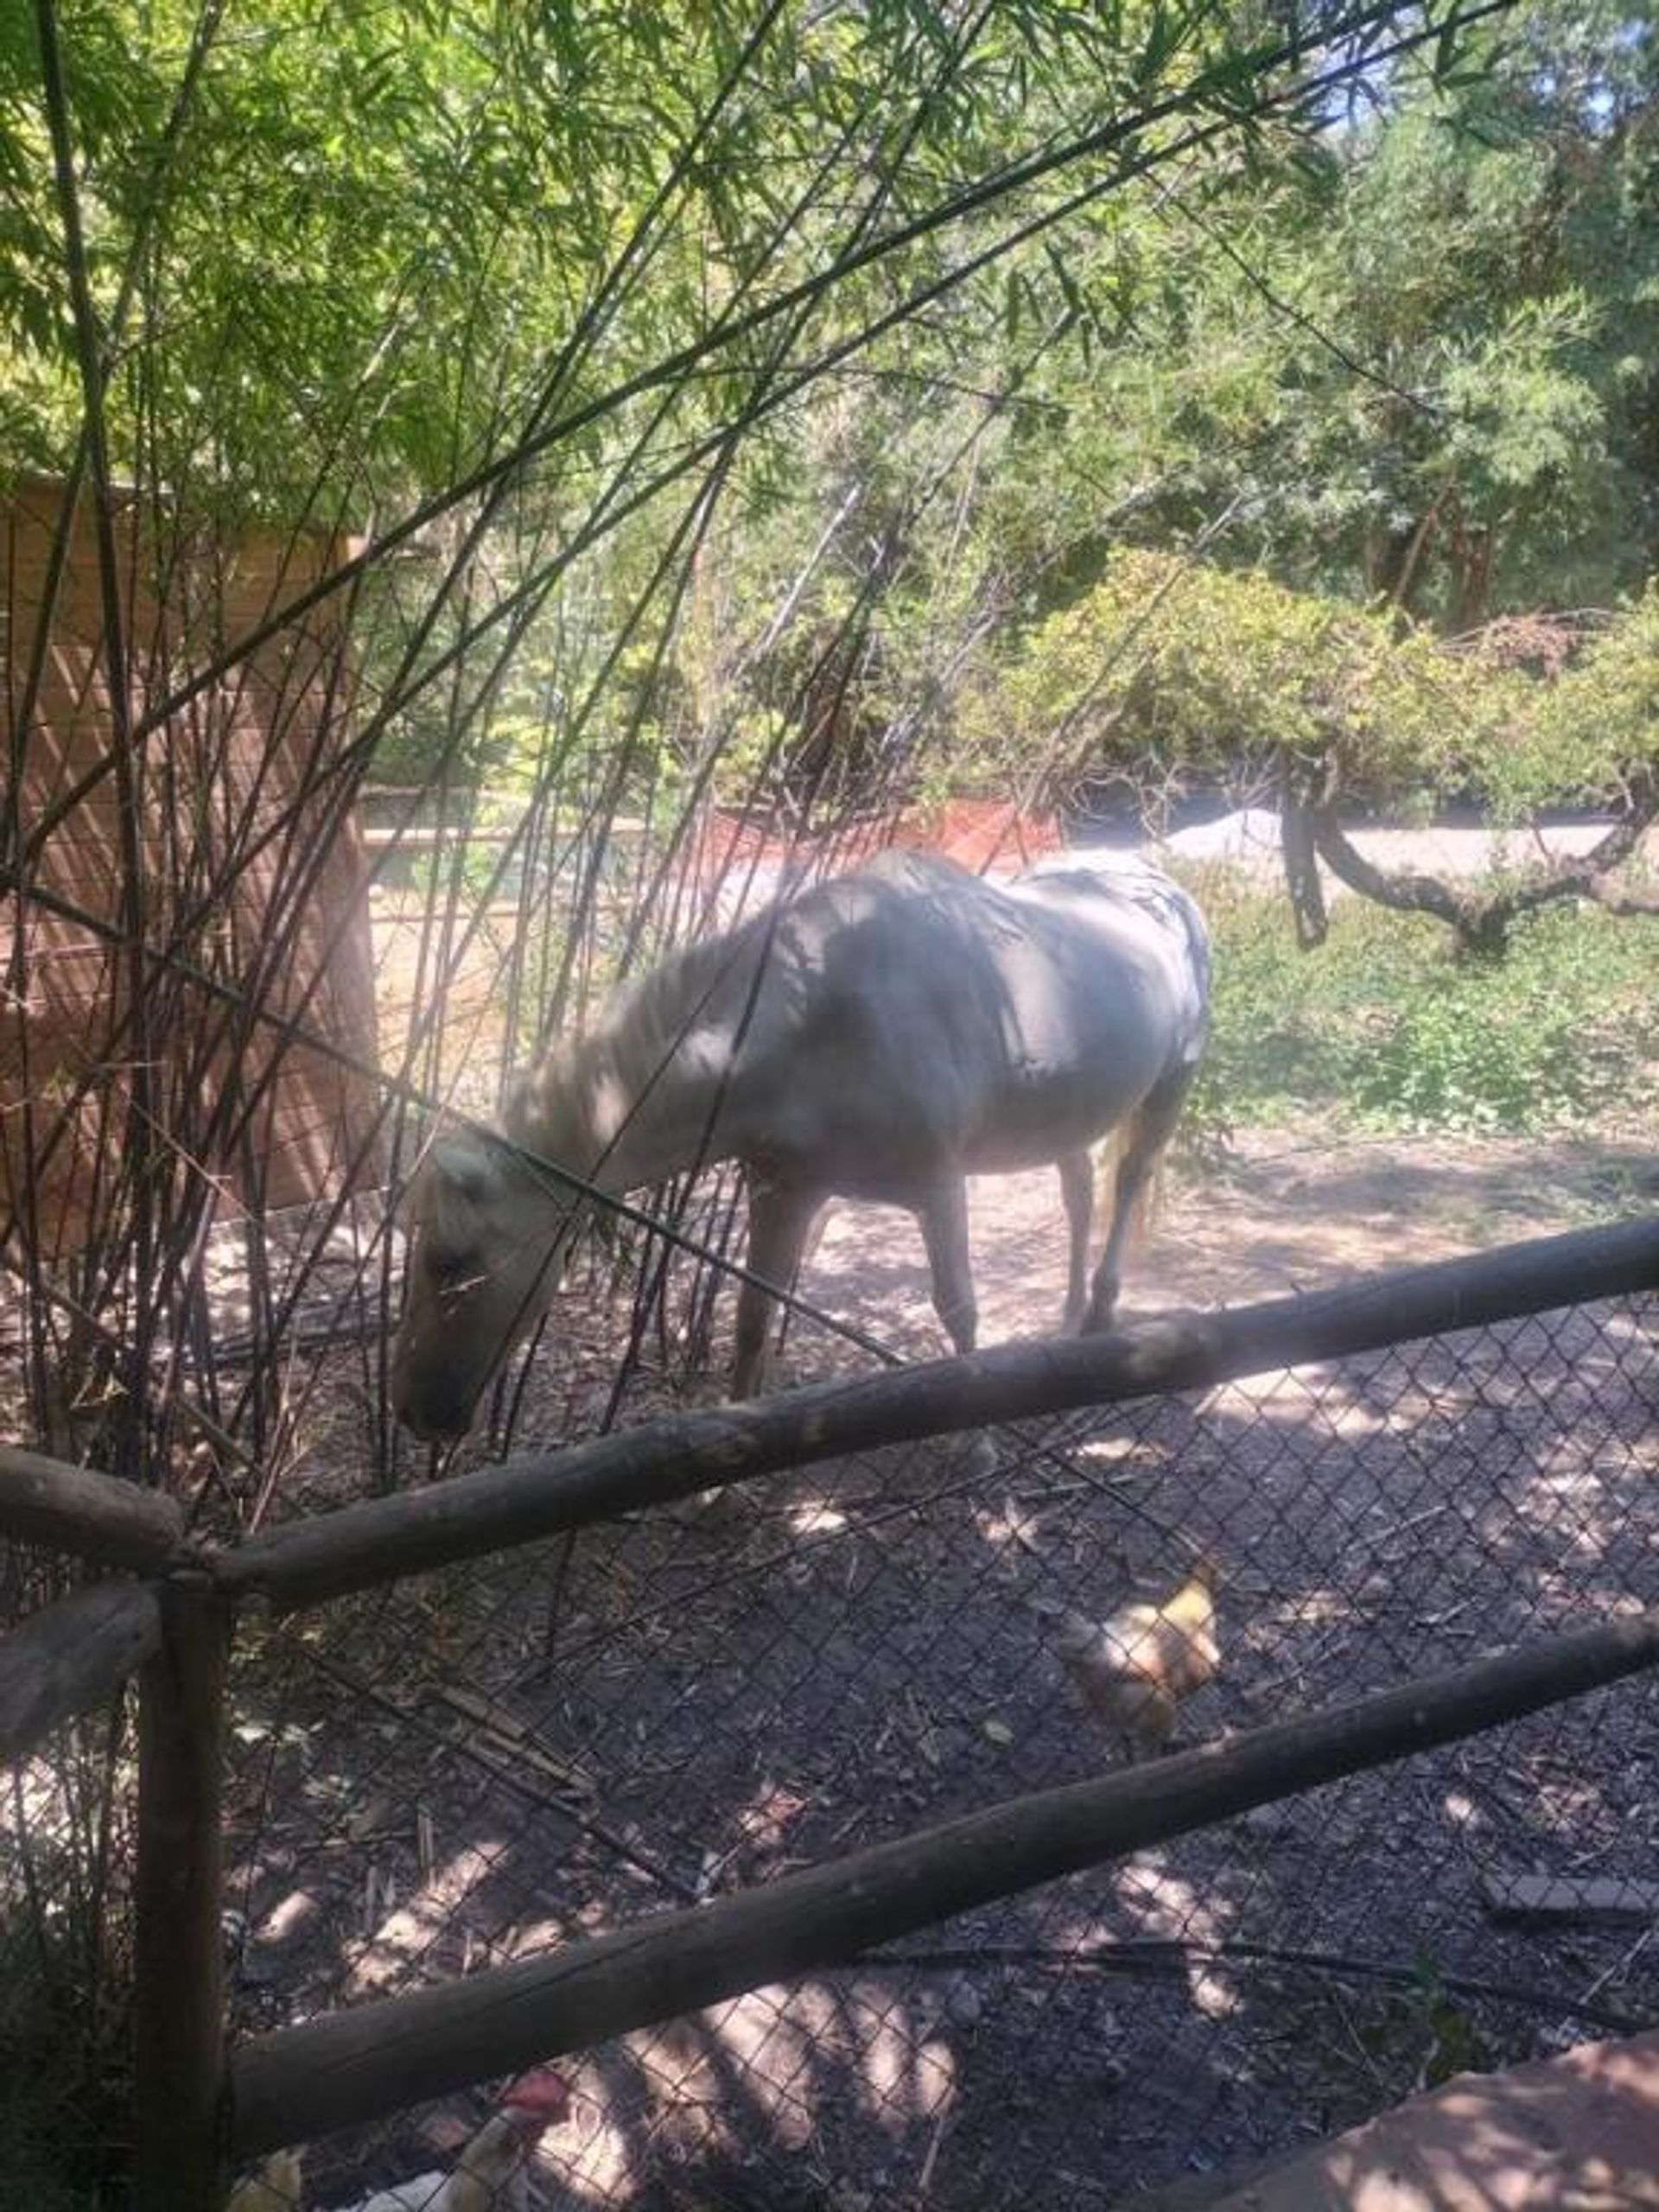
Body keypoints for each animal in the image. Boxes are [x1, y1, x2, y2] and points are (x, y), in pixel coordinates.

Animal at [396, 840, 1211, 1433]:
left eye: (448, 1261)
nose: (414, 1413)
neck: (814, 1016)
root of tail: (1156, 884)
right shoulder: (783, 1191)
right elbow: (754, 1319)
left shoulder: (938, 1189)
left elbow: (958, 1308)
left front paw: (974, 1436)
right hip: (1069, 1113)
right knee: (1080, 1190)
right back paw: (1069, 1318)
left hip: (1171, 1086)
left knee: (1129, 1182)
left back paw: (1100, 1314)